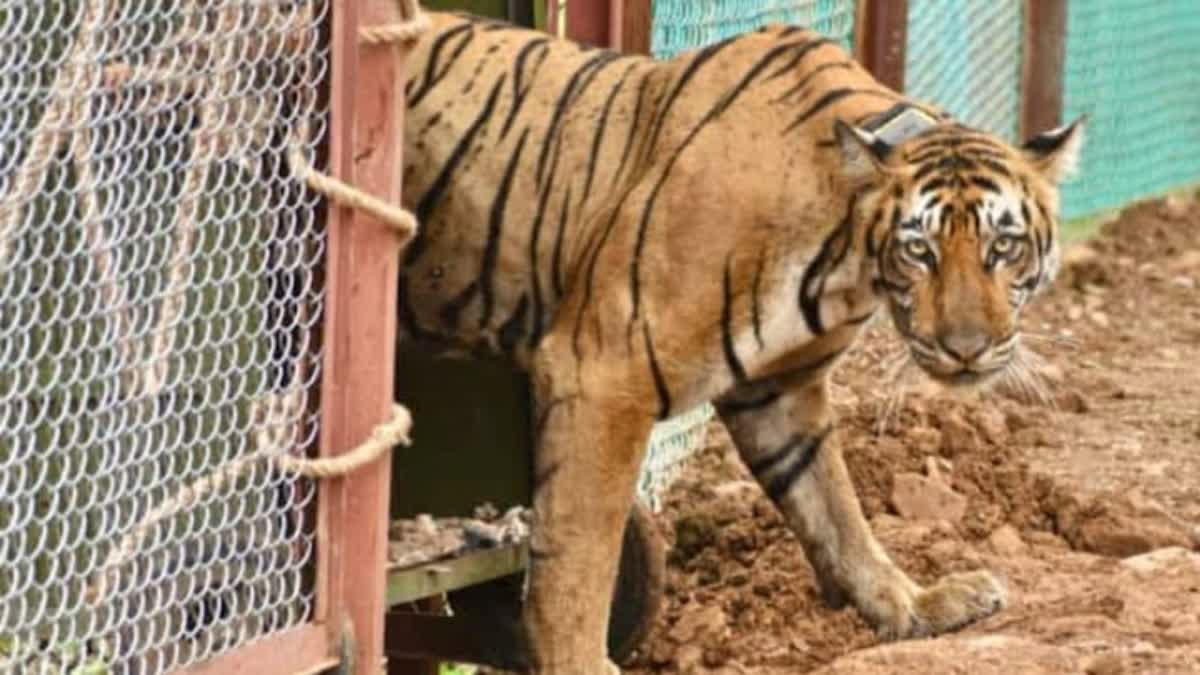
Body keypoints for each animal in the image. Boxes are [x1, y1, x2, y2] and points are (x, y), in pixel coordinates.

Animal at [400, 7, 1089, 667]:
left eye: (1004, 246)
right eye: (920, 251)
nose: (966, 348)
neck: (848, 256)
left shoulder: (779, 389)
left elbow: (834, 509)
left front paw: (914, 606)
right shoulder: (601, 370)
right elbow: (579, 553)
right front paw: (577, 660)